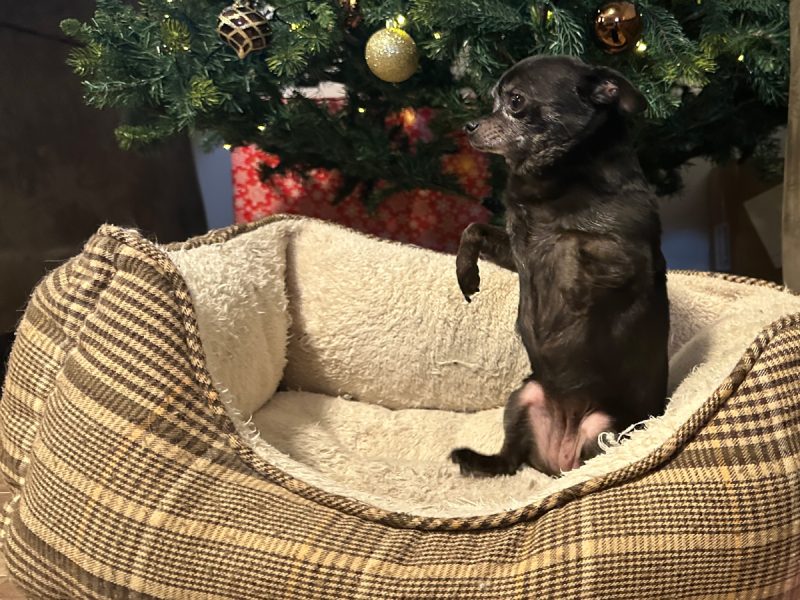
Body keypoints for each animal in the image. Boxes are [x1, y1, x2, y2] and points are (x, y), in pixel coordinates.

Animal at [450, 56, 668, 478]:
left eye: (515, 101)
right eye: (493, 99)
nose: (469, 125)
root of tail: (558, 461)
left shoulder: (625, 257)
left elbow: (573, 254)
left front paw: (560, 316)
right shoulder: (516, 249)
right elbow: (473, 229)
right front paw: (466, 273)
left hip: (603, 427)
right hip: (525, 395)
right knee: (510, 461)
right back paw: (476, 461)